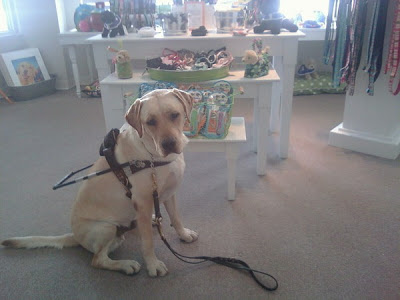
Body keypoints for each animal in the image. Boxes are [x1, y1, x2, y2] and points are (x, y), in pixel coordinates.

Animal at [1, 88, 198, 276]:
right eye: (150, 121)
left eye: (174, 115)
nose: (169, 144)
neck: (151, 155)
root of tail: (75, 236)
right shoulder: (142, 202)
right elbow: (148, 242)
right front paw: (152, 265)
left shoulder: (169, 192)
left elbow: (176, 218)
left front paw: (183, 234)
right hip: (106, 228)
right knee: (97, 260)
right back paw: (125, 265)